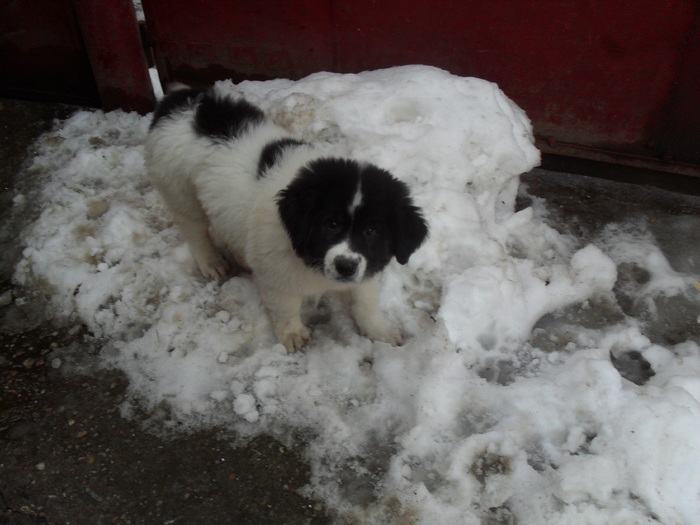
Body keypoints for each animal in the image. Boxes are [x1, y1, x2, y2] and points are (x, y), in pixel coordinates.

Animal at [144, 84, 426, 350]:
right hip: (177, 186)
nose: (345, 266)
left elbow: (364, 299)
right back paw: (211, 262)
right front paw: (292, 334)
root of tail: (178, 100)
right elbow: (285, 306)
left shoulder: (367, 264)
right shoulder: (277, 276)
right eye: (331, 224)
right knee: (193, 227)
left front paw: (380, 329)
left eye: (372, 230)